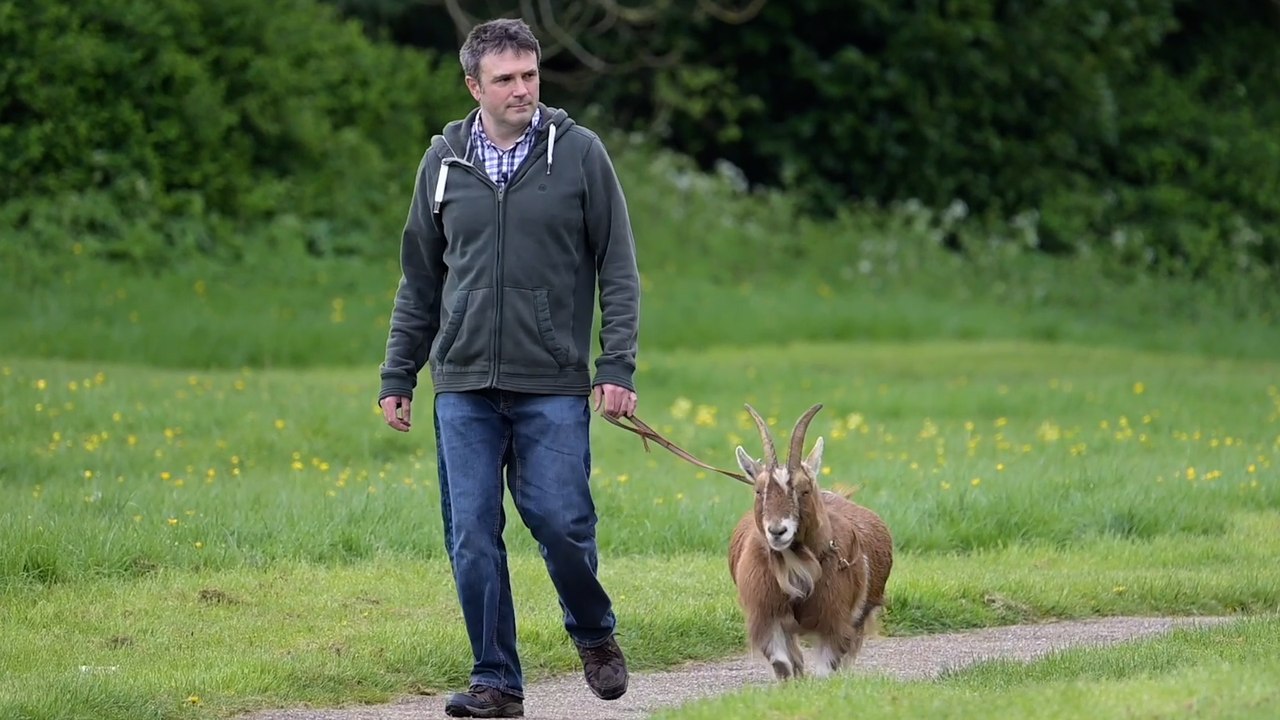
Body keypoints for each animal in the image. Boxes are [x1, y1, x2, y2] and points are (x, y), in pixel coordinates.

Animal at [727, 403, 893, 680]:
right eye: (759, 491)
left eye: (804, 490)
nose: (777, 531)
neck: (795, 563)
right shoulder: (767, 616)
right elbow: (782, 665)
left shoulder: (836, 622)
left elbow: (827, 670)